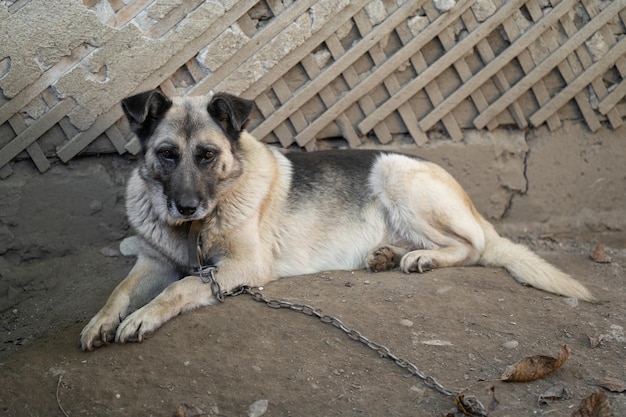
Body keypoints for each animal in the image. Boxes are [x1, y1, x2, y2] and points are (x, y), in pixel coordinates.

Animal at [78, 92, 588, 352]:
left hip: (396, 173)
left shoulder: (239, 267)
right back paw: (388, 254)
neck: (194, 231)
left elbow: (180, 287)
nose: (186, 207)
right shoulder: (154, 262)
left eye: (207, 155)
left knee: (474, 247)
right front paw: (102, 320)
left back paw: (421, 258)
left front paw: (142, 317)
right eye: (167, 154)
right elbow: (120, 290)